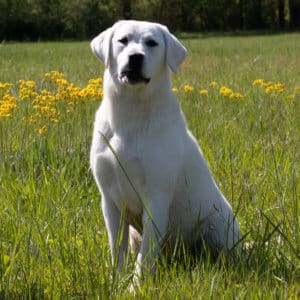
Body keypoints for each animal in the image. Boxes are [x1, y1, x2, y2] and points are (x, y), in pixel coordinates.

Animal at [89, 19, 241, 276]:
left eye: (152, 43)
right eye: (123, 40)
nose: (135, 57)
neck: (131, 112)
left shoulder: (157, 195)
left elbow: (146, 255)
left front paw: (137, 283)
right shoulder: (109, 199)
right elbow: (117, 250)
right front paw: (116, 281)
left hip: (217, 225)